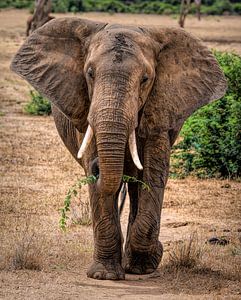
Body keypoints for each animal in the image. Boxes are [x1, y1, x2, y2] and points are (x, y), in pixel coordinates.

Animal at [10, 18, 226, 282]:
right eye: (89, 73)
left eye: (145, 79)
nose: (97, 168)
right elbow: (100, 183)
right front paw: (104, 275)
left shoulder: (160, 109)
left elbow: (154, 173)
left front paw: (146, 262)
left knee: (135, 187)